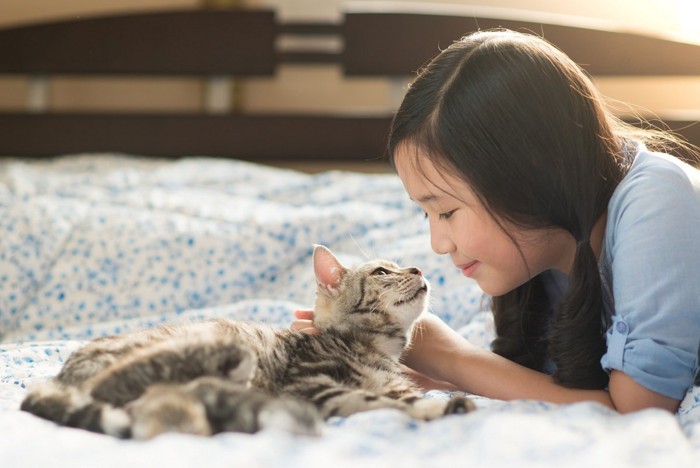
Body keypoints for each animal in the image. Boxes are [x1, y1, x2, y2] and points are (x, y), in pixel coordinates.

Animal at [20, 245, 476, 438]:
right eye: (383, 271)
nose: (418, 268)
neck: (378, 350)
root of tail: (59, 376)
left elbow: (397, 395)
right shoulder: (310, 386)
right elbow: (374, 400)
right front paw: (434, 409)